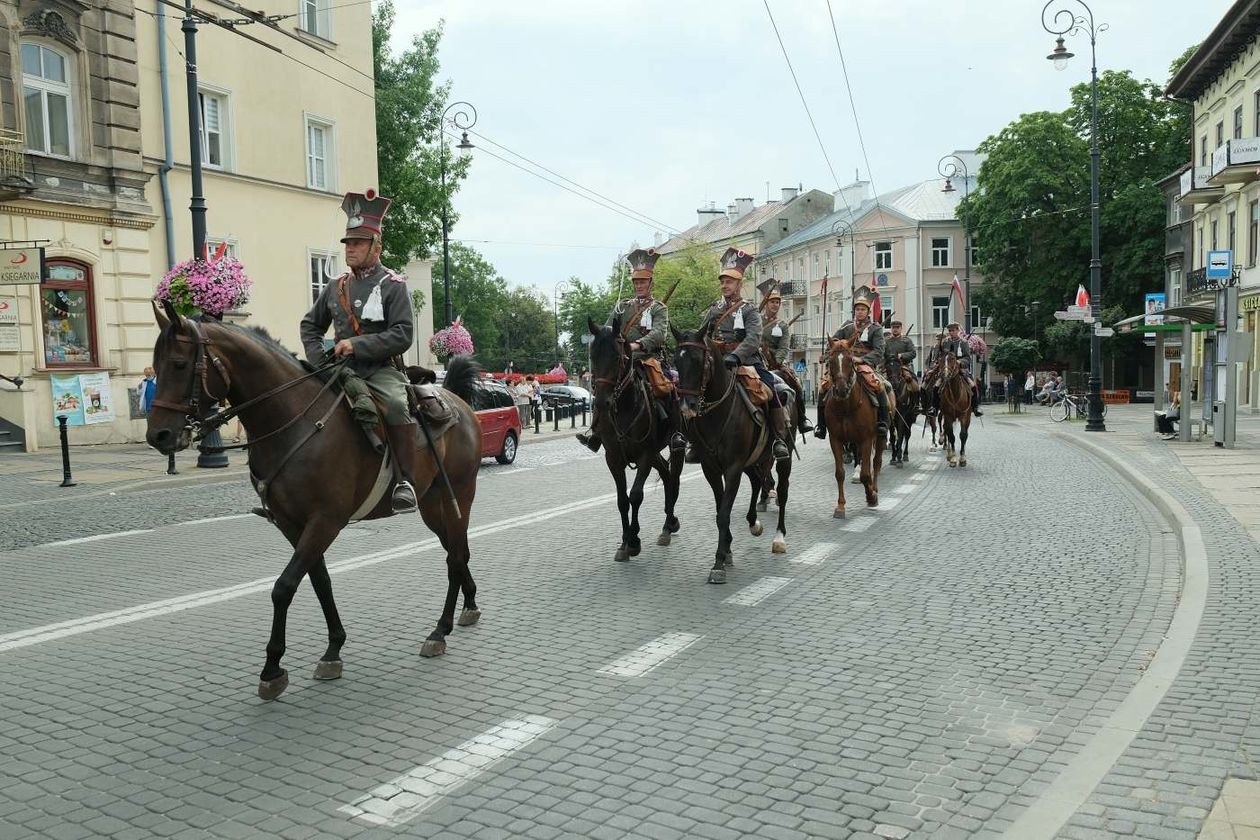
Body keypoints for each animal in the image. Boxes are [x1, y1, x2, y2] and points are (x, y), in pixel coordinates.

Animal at [144, 302, 483, 705]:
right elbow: (319, 581)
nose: (159, 435)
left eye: (179, 364)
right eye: (155, 363)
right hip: (433, 504)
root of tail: (455, 402)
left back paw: (440, 630)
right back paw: (468, 605)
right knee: (455, 551)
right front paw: (333, 649)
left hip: (458, 494)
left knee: (455, 556)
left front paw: (272, 669)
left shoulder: (325, 521)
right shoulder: (292, 524)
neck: (295, 422)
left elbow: (284, 586)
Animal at [587, 318, 685, 561]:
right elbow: (622, 500)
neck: (624, 407)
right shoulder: (613, 458)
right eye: (593, 356)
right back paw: (669, 524)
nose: (601, 403)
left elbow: (635, 495)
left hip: (675, 446)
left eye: (617, 357)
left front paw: (633, 540)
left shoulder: (644, 456)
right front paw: (624, 543)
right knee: (666, 474)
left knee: (674, 479)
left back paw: (667, 526)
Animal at [675, 324, 781, 581]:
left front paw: (719, 562)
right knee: (756, 481)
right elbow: (719, 509)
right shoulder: (711, 468)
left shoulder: (733, 468)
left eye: (698, 359)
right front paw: (727, 550)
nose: (686, 407)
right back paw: (753, 522)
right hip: (751, 462)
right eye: (675, 361)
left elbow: (724, 513)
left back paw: (779, 538)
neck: (719, 412)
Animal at [821, 337, 892, 516]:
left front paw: (871, 497)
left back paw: (875, 489)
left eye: (850, 360)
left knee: (877, 462)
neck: (846, 406)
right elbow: (839, 473)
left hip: (880, 436)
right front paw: (840, 506)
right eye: (831, 361)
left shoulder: (866, 439)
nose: (841, 389)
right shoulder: (836, 440)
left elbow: (866, 474)